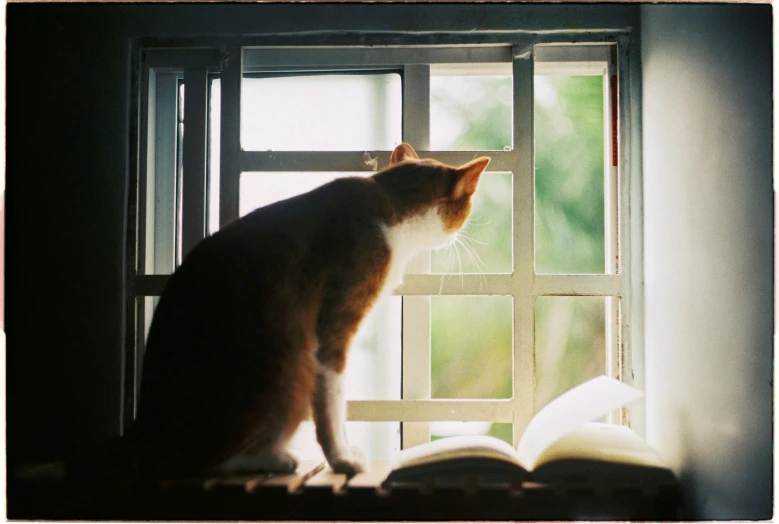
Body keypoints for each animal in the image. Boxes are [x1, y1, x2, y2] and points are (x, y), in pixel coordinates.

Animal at [131, 143, 490, 478]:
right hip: (289, 370)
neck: (390, 206)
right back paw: (274, 458)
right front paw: (341, 458)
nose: (460, 236)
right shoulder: (332, 329)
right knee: (211, 461)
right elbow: (332, 403)